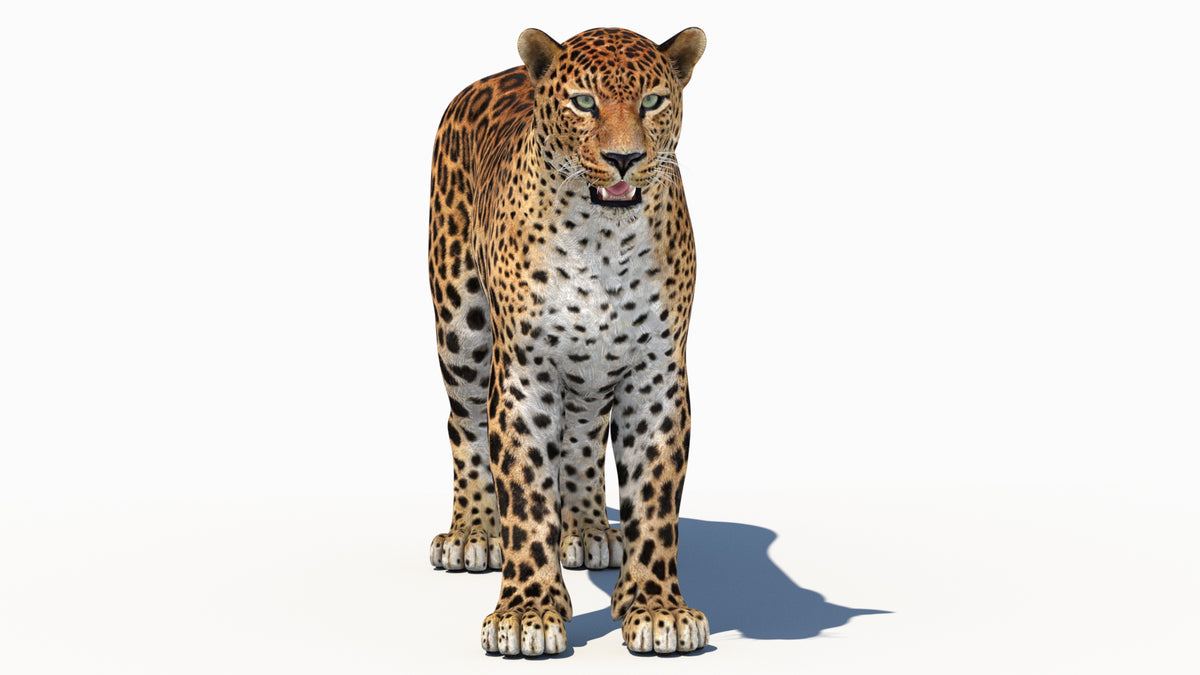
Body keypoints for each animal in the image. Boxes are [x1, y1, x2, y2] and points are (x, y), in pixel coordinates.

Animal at [425, 26, 708, 656]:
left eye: (653, 101)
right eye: (583, 103)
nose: (624, 158)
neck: (605, 244)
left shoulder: (656, 374)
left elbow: (655, 497)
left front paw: (657, 608)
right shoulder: (525, 374)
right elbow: (526, 495)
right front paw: (526, 614)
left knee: (581, 438)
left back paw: (587, 529)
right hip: (462, 327)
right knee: (464, 424)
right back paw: (471, 531)